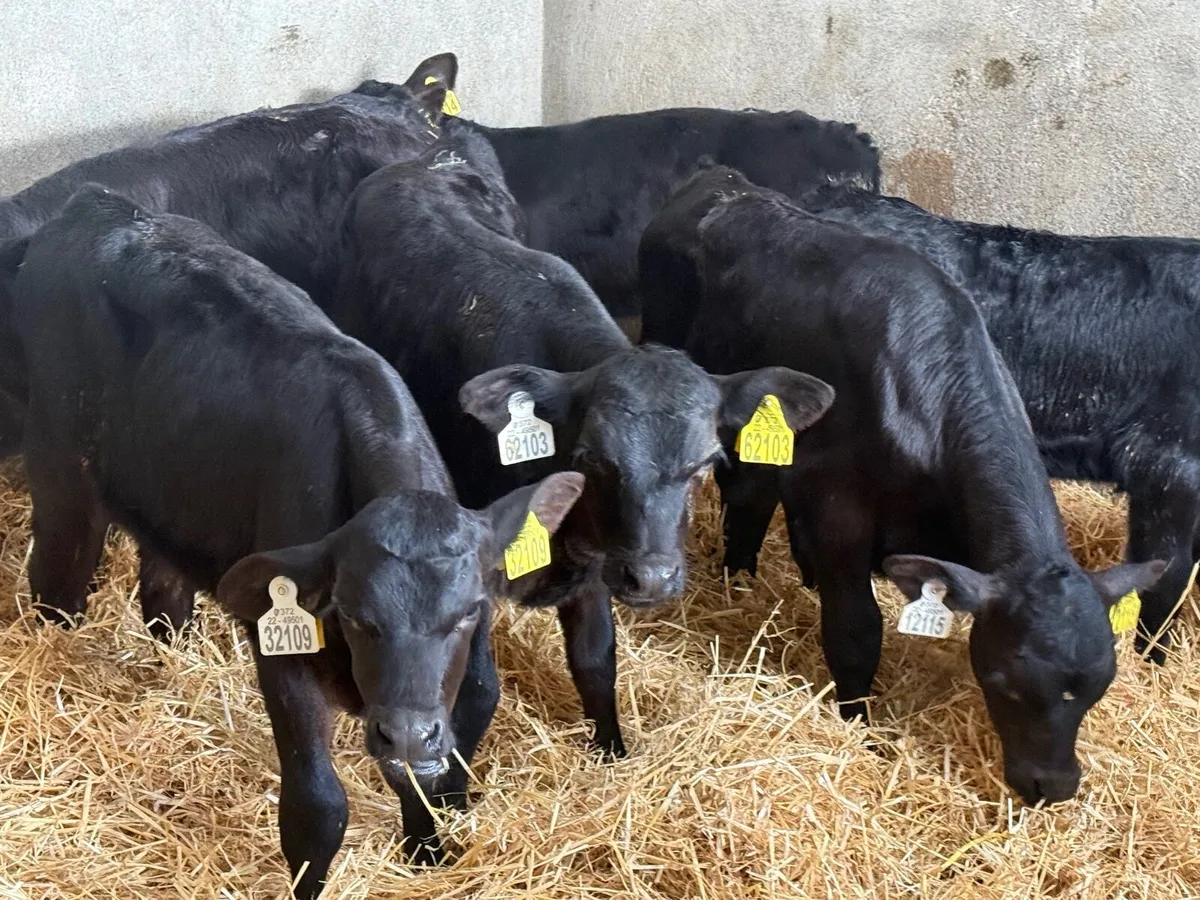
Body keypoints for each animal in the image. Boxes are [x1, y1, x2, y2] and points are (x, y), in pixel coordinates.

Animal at [6, 184, 585, 898]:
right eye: (355, 614)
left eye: (470, 612)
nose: (406, 732)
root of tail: (96, 204)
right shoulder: (282, 655)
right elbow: (317, 805)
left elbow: (438, 773)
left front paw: (427, 852)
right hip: (61, 467)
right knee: (56, 583)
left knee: (164, 586)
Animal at [328, 128, 835, 759]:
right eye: (594, 459)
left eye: (704, 463)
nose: (652, 578)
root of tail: (425, 161)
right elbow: (478, 684)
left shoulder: (595, 569)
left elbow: (596, 661)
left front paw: (611, 749)